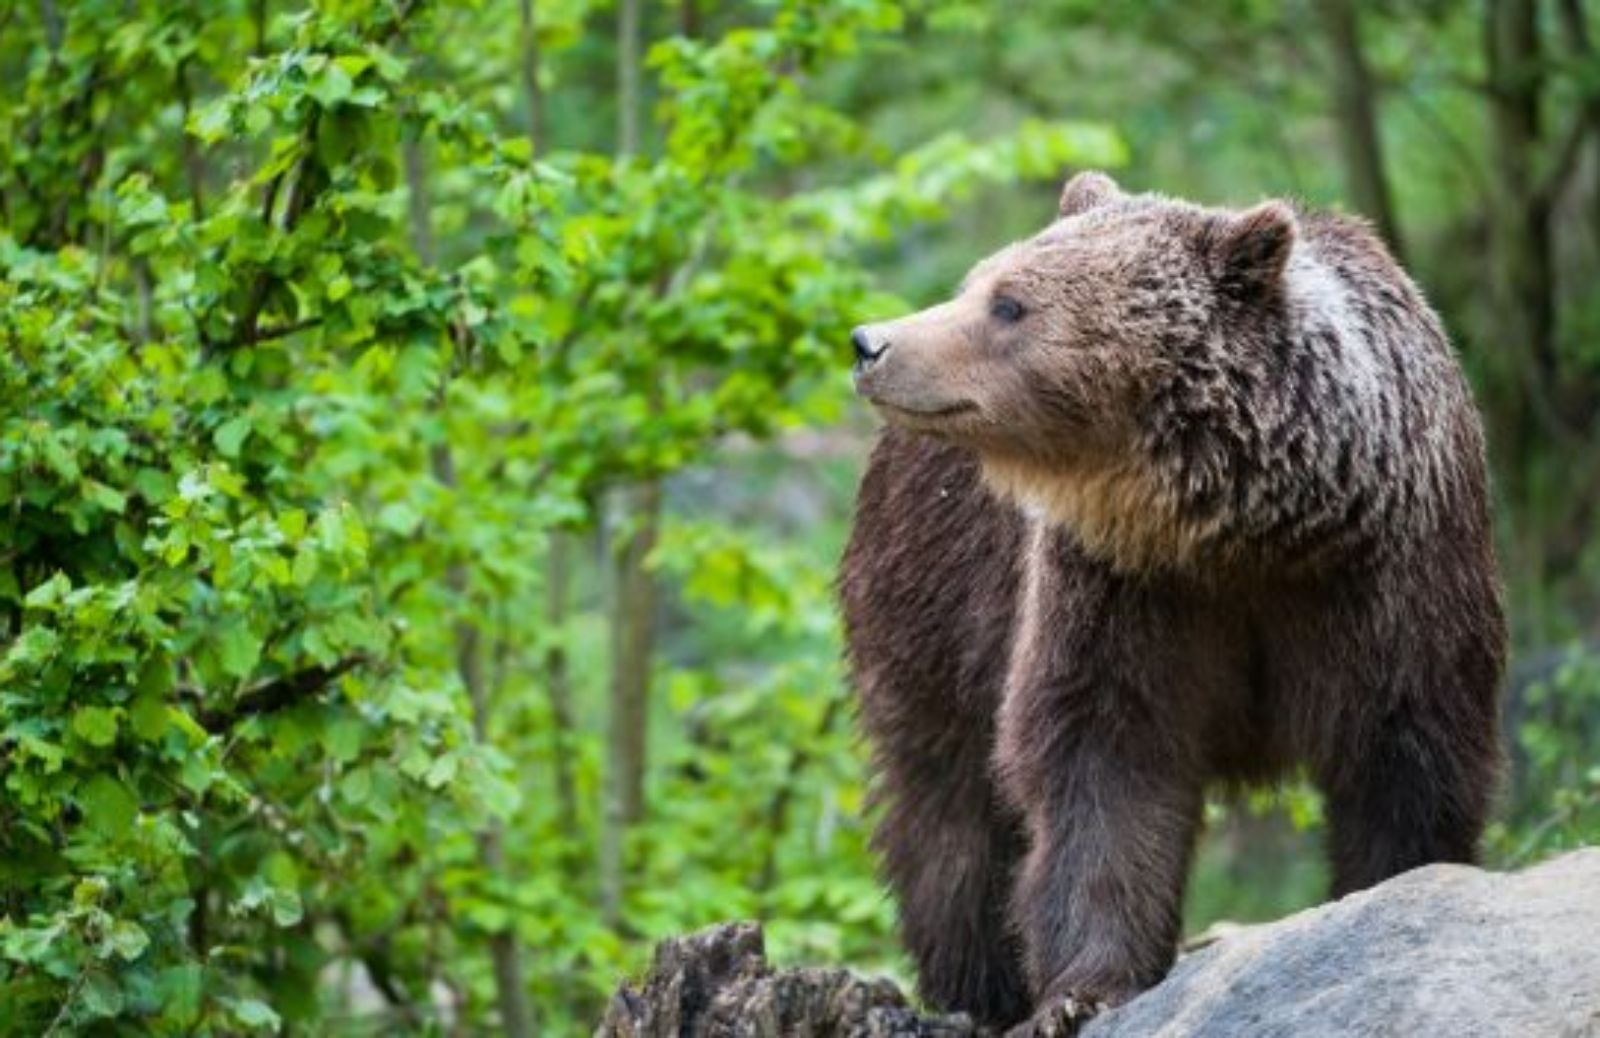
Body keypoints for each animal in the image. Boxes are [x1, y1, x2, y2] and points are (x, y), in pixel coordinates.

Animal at [844, 174, 1504, 1030]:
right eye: (979, 282)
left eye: (1008, 303)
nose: (870, 342)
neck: (1249, 531)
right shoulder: (1121, 589)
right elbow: (1106, 764)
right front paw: (1079, 995)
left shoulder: (1392, 575)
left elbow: (1406, 755)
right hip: (931, 601)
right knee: (949, 810)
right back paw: (978, 988)